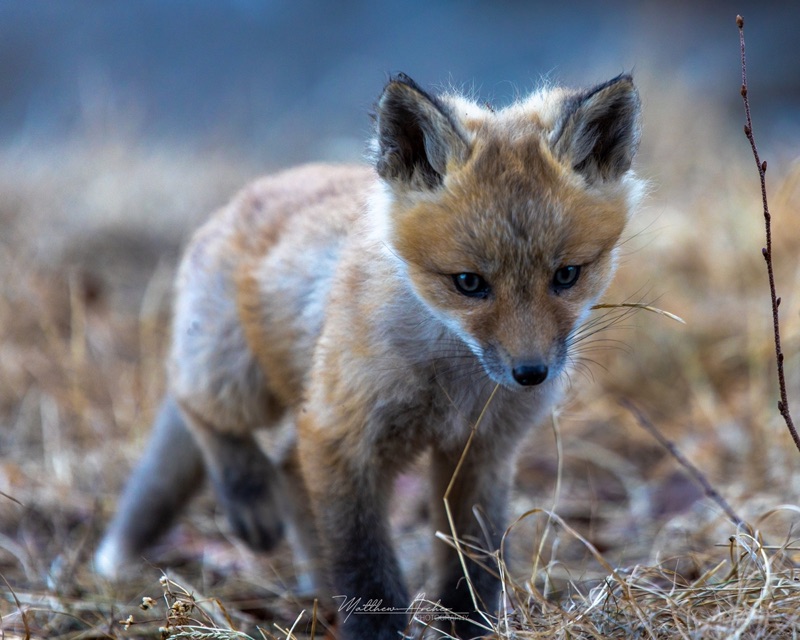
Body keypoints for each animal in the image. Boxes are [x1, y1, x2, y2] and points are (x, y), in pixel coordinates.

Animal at [95, 72, 643, 639]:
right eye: (469, 283)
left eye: (567, 275)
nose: (531, 373)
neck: (452, 380)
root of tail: (243, 195)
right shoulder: (341, 436)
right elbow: (366, 566)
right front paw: (375, 629)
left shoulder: (483, 451)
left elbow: (473, 562)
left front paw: (468, 627)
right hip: (238, 377)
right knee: (197, 403)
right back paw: (246, 495)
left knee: (287, 466)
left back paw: (318, 587)